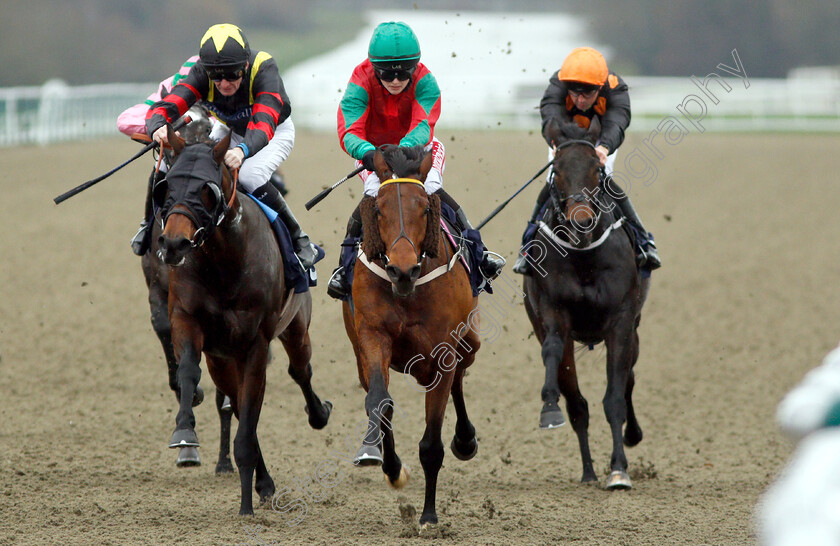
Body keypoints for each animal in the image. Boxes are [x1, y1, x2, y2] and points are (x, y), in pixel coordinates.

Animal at [143, 124, 330, 516]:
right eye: (166, 185)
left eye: (207, 188)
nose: (173, 243)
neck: (224, 261)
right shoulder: (188, 321)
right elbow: (189, 372)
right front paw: (184, 432)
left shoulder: (256, 343)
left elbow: (252, 407)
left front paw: (246, 504)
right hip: (222, 360)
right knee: (237, 401)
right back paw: (261, 479)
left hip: (294, 328)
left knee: (299, 370)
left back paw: (318, 414)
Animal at [342, 144, 482, 528]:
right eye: (378, 208)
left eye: (424, 207)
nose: (402, 270)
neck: (408, 290)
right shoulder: (373, 337)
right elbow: (380, 401)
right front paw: (388, 465)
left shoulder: (444, 350)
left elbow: (431, 444)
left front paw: (429, 516)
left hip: (468, 341)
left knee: (460, 377)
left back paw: (465, 440)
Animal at [524, 117, 648, 486]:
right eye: (557, 170)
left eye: (597, 167)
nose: (581, 220)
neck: (584, 256)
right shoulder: (553, 312)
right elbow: (552, 350)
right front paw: (549, 408)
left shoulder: (621, 321)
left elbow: (615, 399)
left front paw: (619, 469)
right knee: (578, 405)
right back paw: (589, 471)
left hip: (634, 333)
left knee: (629, 379)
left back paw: (630, 437)